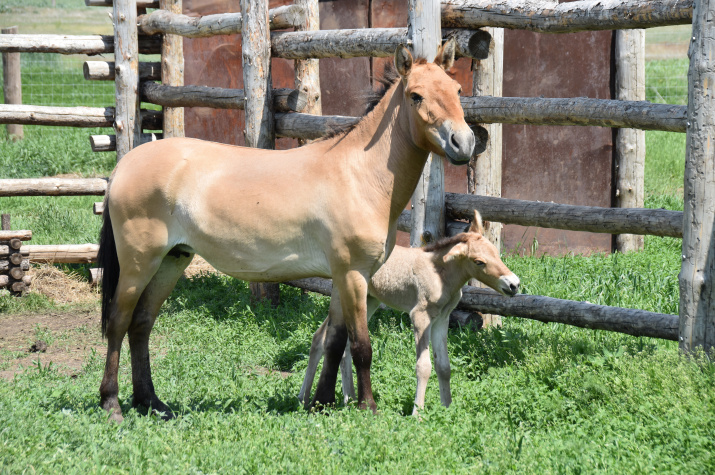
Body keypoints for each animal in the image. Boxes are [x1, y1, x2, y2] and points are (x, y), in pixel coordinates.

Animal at [96, 39, 476, 422]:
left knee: (141, 324)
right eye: (415, 96)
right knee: (118, 322)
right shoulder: (354, 275)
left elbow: (334, 342)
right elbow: (360, 345)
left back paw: (151, 403)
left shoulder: (342, 276)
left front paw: (322, 402)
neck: (359, 175)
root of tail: (124, 165)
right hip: (139, 263)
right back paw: (112, 404)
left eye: (457, 89)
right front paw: (367, 407)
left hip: (171, 261)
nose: (464, 143)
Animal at [298, 212, 520, 416]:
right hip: (344, 297)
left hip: (369, 301)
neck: (441, 275)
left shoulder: (442, 319)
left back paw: (349, 398)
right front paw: (417, 413)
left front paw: (447, 408)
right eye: (478, 261)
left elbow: (444, 366)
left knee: (341, 345)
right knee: (320, 337)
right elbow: (423, 366)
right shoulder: (420, 316)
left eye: (496, 252)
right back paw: (304, 399)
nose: (514, 284)